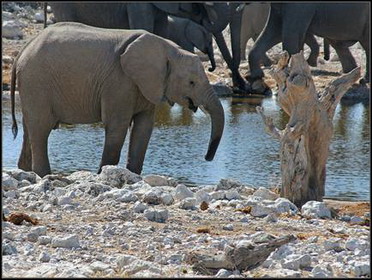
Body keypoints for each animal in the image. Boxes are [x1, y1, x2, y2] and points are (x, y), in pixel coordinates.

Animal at [10, 23, 224, 177]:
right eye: (191, 82)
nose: (207, 158)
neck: (168, 48)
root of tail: (22, 51)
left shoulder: (146, 85)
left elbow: (143, 128)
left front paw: (133, 176)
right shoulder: (119, 81)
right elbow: (118, 126)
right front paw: (103, 174)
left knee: (29, 129)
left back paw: (25, 172)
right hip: (37, 82)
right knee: (41, 129)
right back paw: (44, 175)